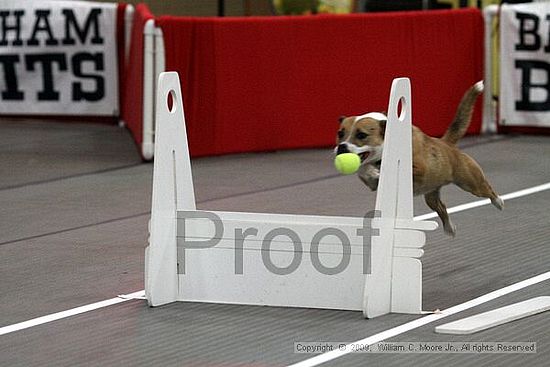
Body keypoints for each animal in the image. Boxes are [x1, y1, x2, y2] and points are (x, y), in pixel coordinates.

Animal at [336, 81, 504, 237]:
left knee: (487, 190)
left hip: (471, 183)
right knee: (441, 207)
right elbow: (365, 170)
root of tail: (447, 143)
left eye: (361, 135)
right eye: (340, 133)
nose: (342, 147)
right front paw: (372, 172)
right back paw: (449, 228)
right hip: (431, 196)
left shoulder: (420, 169)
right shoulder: (371, 181)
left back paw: (499, 202)